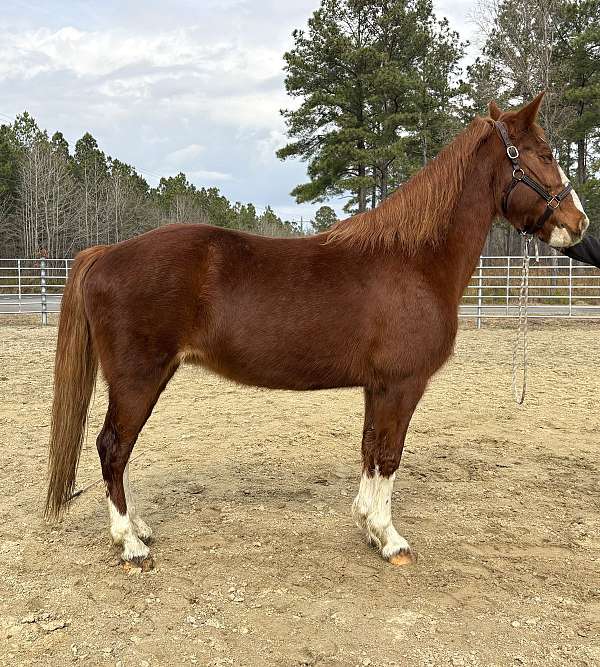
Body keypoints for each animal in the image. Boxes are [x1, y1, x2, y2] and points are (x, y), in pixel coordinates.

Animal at [45, 92, 588, 570]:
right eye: (545, 154)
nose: (579, 223)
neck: (413, 260)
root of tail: (106, 253)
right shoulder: (402, 384)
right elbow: (389, 454)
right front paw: (391, 539)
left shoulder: (378, 387)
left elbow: (371, 449)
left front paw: (368, 525)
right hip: (136, 379)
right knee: (113, 447)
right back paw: (130, 544)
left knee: (122, 450)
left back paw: (139, 527)